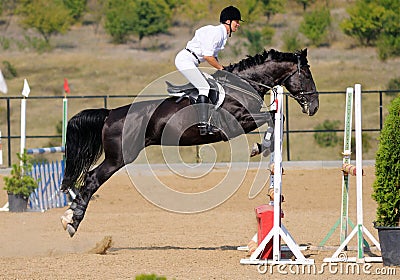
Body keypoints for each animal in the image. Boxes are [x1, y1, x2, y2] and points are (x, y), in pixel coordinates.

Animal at [60, 48, 318, 236]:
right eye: (306, 75)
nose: (314, 107)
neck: (243, 86)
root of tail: (111, 113)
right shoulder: (237, 122)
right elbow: (271, 118)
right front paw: (260, 147)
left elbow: (273, 119)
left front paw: (261, 147)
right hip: (119, 157)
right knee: (92, 178)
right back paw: (72, 221)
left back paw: (71, 217)